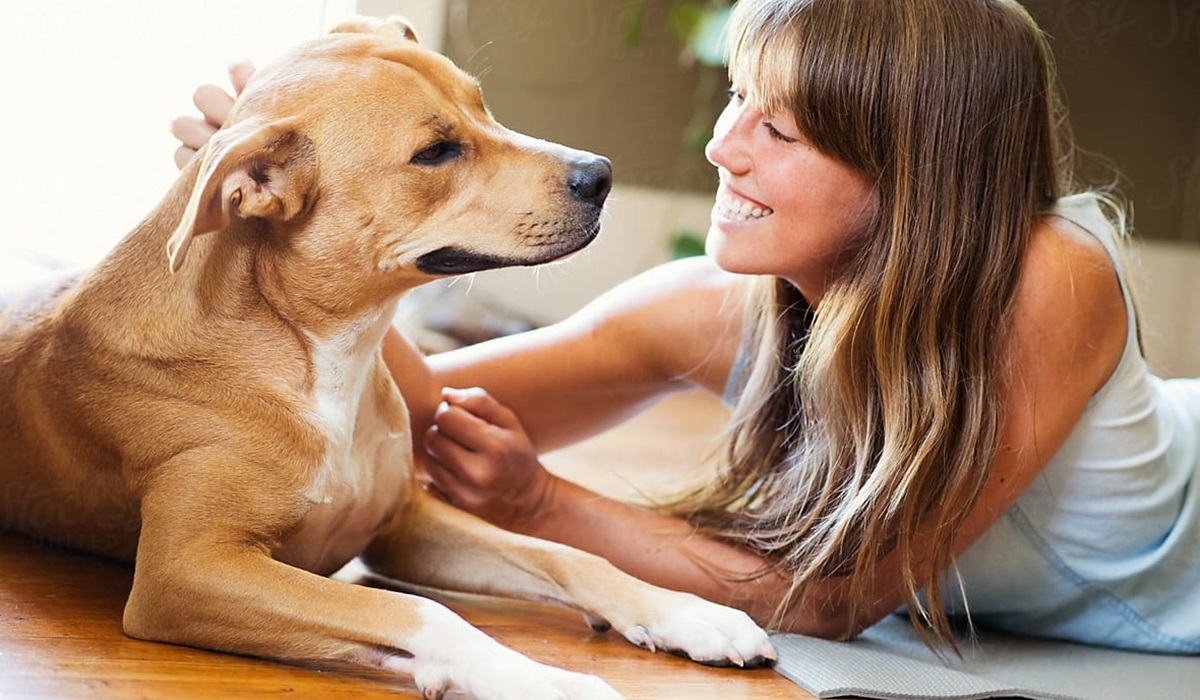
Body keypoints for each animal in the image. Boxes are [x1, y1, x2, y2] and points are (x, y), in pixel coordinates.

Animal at [0, 16, 772, 700]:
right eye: (435, 152)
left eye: (481, 103)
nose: (601, 174)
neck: (321, 352)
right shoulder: (186, 571)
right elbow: (420, 611)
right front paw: (543, 680)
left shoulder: (404, 521)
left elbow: (564, 552)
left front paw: (686, 614)